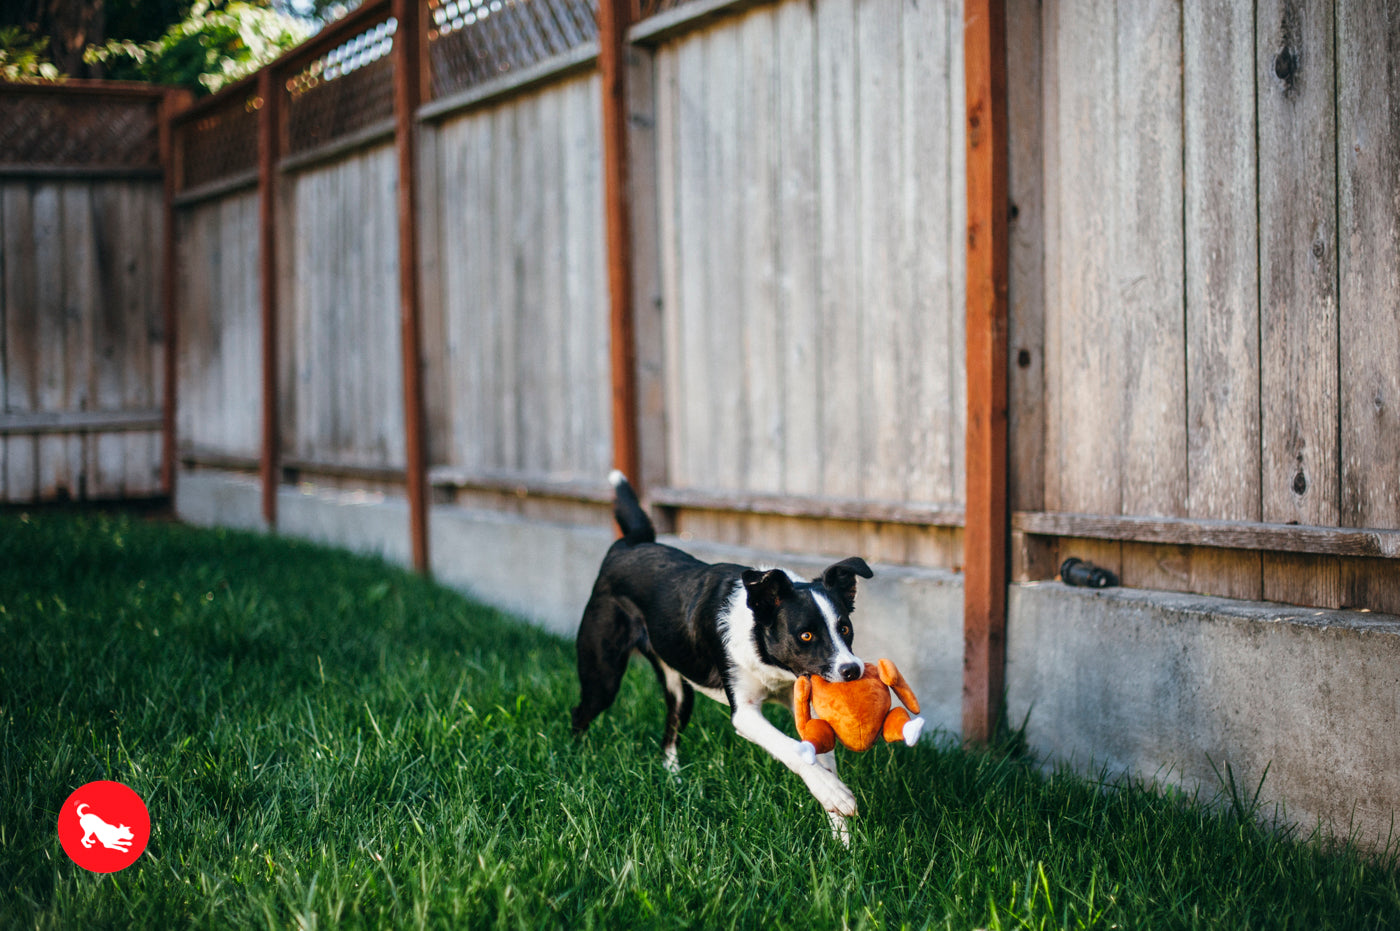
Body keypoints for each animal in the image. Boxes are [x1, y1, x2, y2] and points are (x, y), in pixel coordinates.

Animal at [571, 473, 873, 834]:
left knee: (668, 737)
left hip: (679, 690)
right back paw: (574, 763)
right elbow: (794, 749)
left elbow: (821, 757)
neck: (772, 664)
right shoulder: (744, 713)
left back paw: (675, 783)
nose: (852, 671)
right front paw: (834, 795)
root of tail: (629, 544)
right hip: (603, 675)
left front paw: (841, 832)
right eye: (806, 635)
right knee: (580, 713)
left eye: (845, 628)